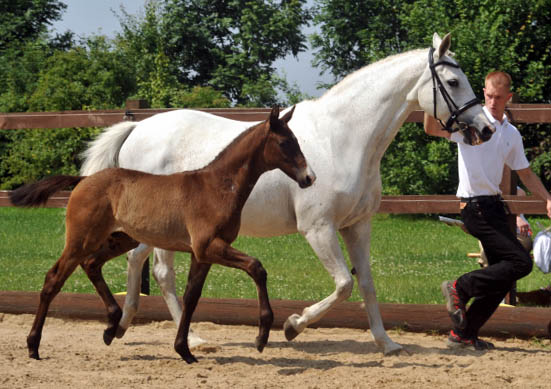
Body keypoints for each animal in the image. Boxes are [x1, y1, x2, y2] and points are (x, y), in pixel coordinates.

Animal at [10, 105, 316, 360]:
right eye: (285, 142)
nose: (309, 177)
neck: (217, 186)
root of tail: (83, 180)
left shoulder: (202, 254)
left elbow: (192, 297)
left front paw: (184, 349)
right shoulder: (209, 246)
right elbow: (257, 268)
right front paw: (261, 336)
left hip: (120, 238)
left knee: (92, 264)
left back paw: (112, 324)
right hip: (81, 239)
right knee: (54, 279)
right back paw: (34, 346)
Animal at [80, 34, 494, 354]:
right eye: (453, 82)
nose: (486, 128)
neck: (341, 138)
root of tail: (138, 129)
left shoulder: (357, 226)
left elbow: (366, 284)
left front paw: (387, 344)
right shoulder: (319, 229)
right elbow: (343, 284)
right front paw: (294, 325)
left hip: (154, 228)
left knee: (136, 260)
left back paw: (123, 324)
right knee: (162, 273)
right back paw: (192, 339)